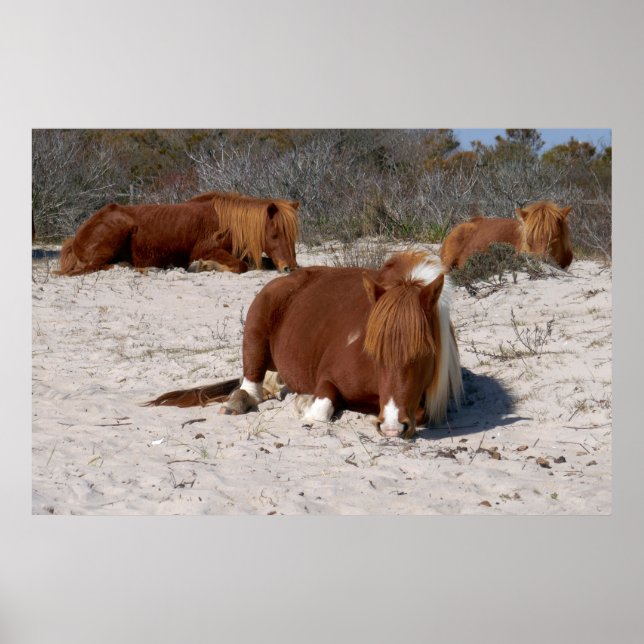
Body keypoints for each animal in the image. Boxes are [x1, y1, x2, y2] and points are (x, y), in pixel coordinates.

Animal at [56, 191, 300, 276]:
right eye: (275, 235)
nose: (291, 267)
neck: (228, 222)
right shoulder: (207, 250)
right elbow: (241, 266)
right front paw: (203, 266)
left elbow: (260, 262)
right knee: (89, 268)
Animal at [146, 250, 463, 439]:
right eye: (373, 354)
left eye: (424, 354)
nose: (393, 426)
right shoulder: (329, 379)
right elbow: (321, 408)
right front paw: (304, 403)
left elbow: (419, 413)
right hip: (256, 329)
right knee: (252, 386)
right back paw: (239, 401)